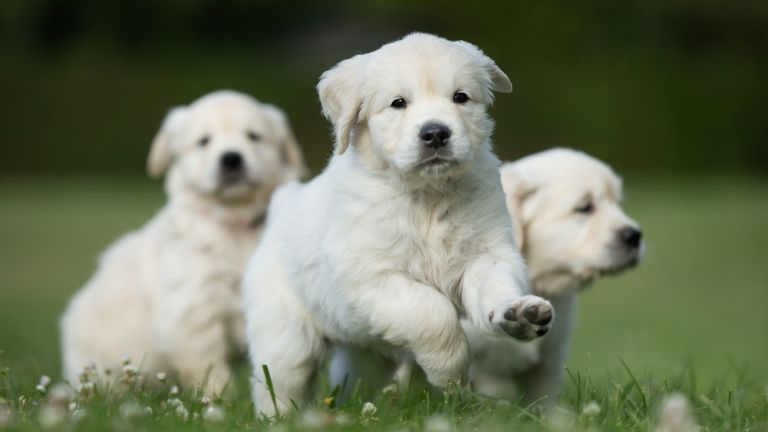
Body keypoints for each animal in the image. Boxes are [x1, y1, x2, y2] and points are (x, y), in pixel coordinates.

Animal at [60, 89, 306, 394]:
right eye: (203, 141)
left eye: (253, 136)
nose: (231, 159)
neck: (232, 222)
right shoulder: (193, 311)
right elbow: (209, 368)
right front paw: (218, 398)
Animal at [243, 32, 556, 416]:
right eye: (398, 103)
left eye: (460, 97)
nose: (435, 133)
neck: (427, 197)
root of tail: (283, 205)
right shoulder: (368, 277)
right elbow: (431, 312)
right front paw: (450, 372)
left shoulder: (487, 252)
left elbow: (493, 285)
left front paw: (519, 315)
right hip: (286, 335)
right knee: (282, 382)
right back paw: (280, 418)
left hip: (365, 352)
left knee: (352, 379)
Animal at [468, 148, 640, 404]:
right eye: (584, 207)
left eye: (618, 203)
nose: (635, 236)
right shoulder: (482, 364)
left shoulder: (550, 358)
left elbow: (545, 399)